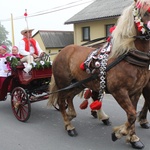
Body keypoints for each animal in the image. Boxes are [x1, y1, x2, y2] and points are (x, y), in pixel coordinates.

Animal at [48, 0, 150, 149]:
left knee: (69, 97)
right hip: (63, 83)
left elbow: (132, 114)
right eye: (146, 12)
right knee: (61, 102)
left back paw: (71, 114)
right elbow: (131, 114)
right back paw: (69, 126)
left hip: (78, 84)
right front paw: (119, 133)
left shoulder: (136, 92)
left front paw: (133, 138)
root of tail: (62, 51)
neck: (127, 55)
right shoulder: (119, 91)